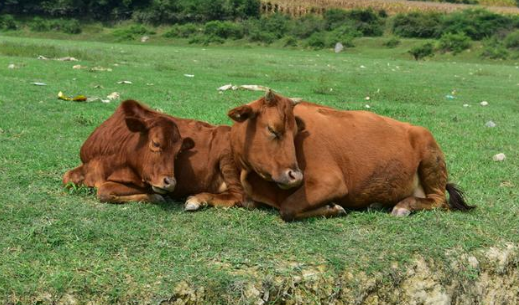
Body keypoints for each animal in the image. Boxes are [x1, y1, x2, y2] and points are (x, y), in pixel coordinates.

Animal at [230, 90, 474, 221]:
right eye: (272, 129)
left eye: (295, 132)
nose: (295, 176)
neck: (253, 179)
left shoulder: (331, 181)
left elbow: (287, 208)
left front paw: (334, 208)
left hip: (430, 155)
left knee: (439, 201)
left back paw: (403, 206)